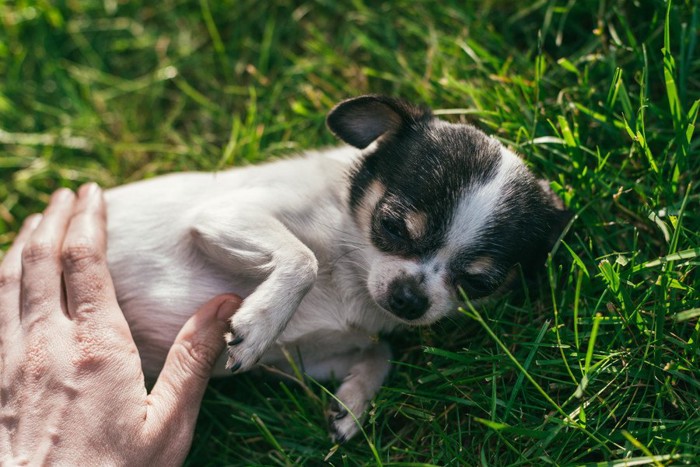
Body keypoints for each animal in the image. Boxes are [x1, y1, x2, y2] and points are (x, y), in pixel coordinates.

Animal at [105, 96, 568, 442]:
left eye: (477, 282)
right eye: (392, 226)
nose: (409, 298)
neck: (352, 274)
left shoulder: (302, 359)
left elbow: (381, 350)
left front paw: (353, 403)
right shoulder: (226, 213)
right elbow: (303, 259)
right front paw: (260, 325)